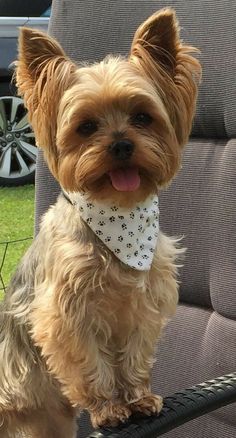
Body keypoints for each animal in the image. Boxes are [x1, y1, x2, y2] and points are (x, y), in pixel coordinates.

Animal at [0, 7, 201, 438]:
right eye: (86, 126)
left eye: (143, 117)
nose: (121, 145)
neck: (119, 213)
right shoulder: (67, 312)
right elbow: (90, 362)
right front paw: (108, 407)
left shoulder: (143, 303)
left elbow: (134, 355)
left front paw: (138, 398)